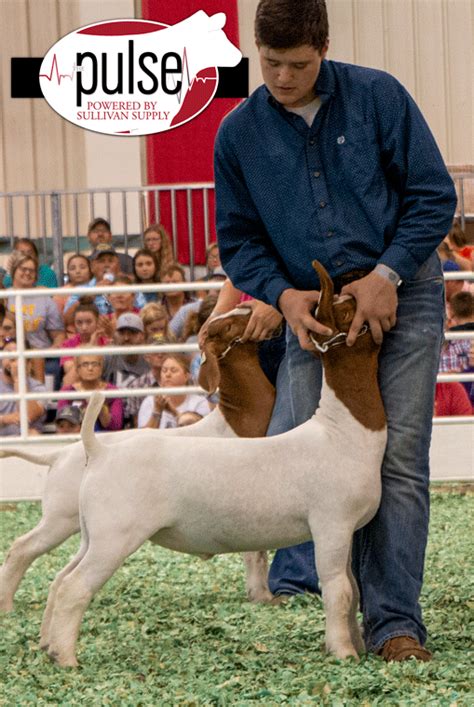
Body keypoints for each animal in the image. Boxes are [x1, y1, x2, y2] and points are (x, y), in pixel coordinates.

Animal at [0, 310, 276, 612]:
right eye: (228, 324)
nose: (251, 309)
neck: (238, 417)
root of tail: (58, 455)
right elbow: (256, 553)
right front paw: (262, 596)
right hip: (59, 516)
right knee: (22, 547)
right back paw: (7, 604)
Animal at [40, 262, 386, 668]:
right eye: (347, 312)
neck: (340, 432)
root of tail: (99, 451)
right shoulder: (331, 524)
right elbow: (339, 590)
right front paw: (343, 652)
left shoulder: (348, 530)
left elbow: (354, 590)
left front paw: (357, 645)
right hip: (114, 535)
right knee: (74, 587)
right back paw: (66, 658)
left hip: (91, 532)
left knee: (61, 578)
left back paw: (48, 645)